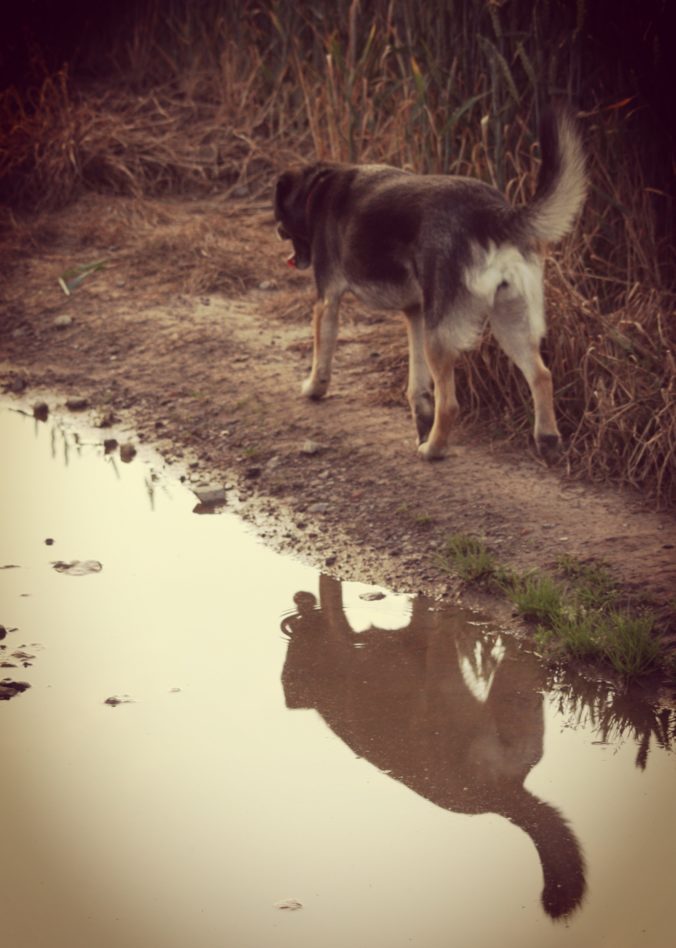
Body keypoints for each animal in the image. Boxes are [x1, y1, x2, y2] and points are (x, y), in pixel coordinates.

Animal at [274, 107, 588, 462]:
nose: (276, 230)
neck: (319, 186)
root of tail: (496, 214)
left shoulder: (327, 299)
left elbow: (321, 352)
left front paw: (314, 388)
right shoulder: (416, 313)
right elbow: (418, 385)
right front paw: (420, 417)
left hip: (442, 336)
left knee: (450, 404)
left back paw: (434, 449)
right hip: (509, 322)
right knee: (541, 375)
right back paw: (547, 439)